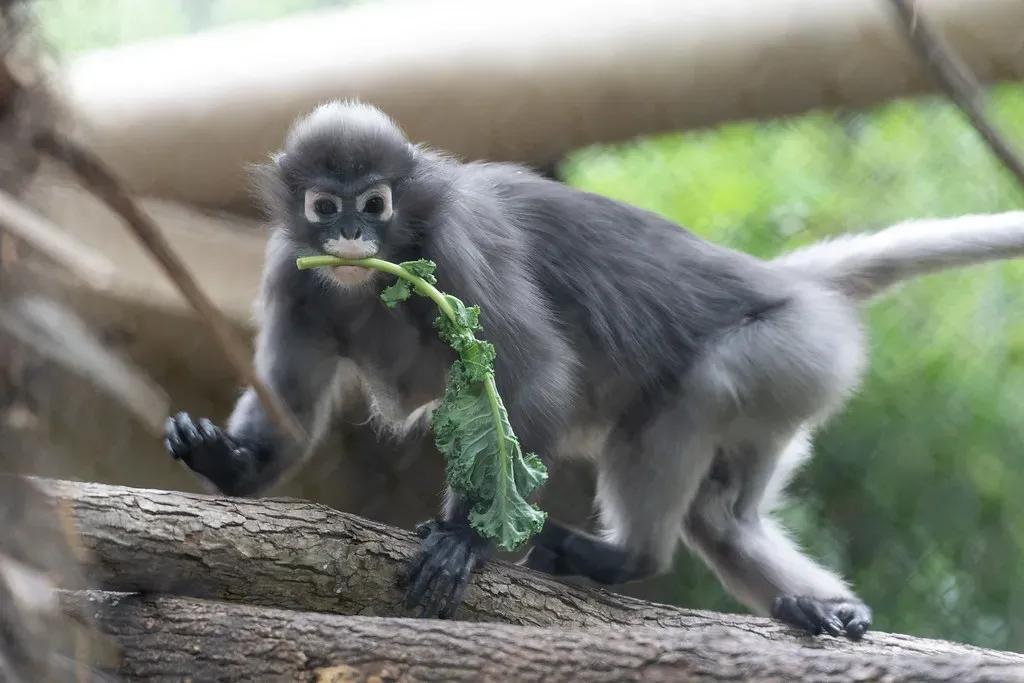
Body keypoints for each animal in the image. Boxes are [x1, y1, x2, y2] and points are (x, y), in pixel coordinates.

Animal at [164, 99, 1024, 640]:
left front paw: (466, 536)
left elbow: (539, 378)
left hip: (790, 349)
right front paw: (229, 462)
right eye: (324, 205)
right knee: (725, 519)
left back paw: (625, 556)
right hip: (797, 374)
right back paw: (819, 607)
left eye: (374, 204)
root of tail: (790, 282)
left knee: (701, 397)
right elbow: (290, 404)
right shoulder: (293, 271)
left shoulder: (456, 247)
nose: (349, 235)